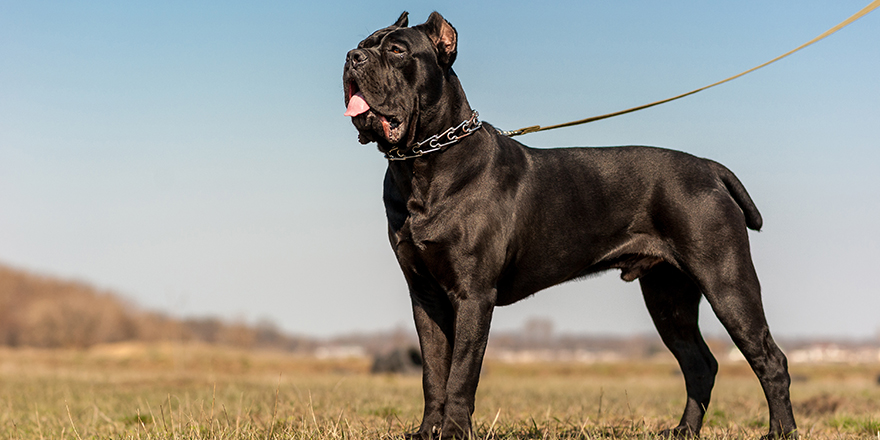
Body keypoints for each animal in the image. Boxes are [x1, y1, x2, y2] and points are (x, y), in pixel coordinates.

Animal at [342, 11, 796, 440]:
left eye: (397, 50)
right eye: (364, 43)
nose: (352, 57)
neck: (423, 163)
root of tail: (708, 167)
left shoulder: (473, 294)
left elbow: (461, 375)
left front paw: (453, 432)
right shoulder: (425, 296)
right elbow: (433, 373)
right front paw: (427, 432)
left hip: (727, 281)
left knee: (769, 359)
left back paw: (780, 431)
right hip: (669, 296)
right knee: (699, 364)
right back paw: (684, 430)